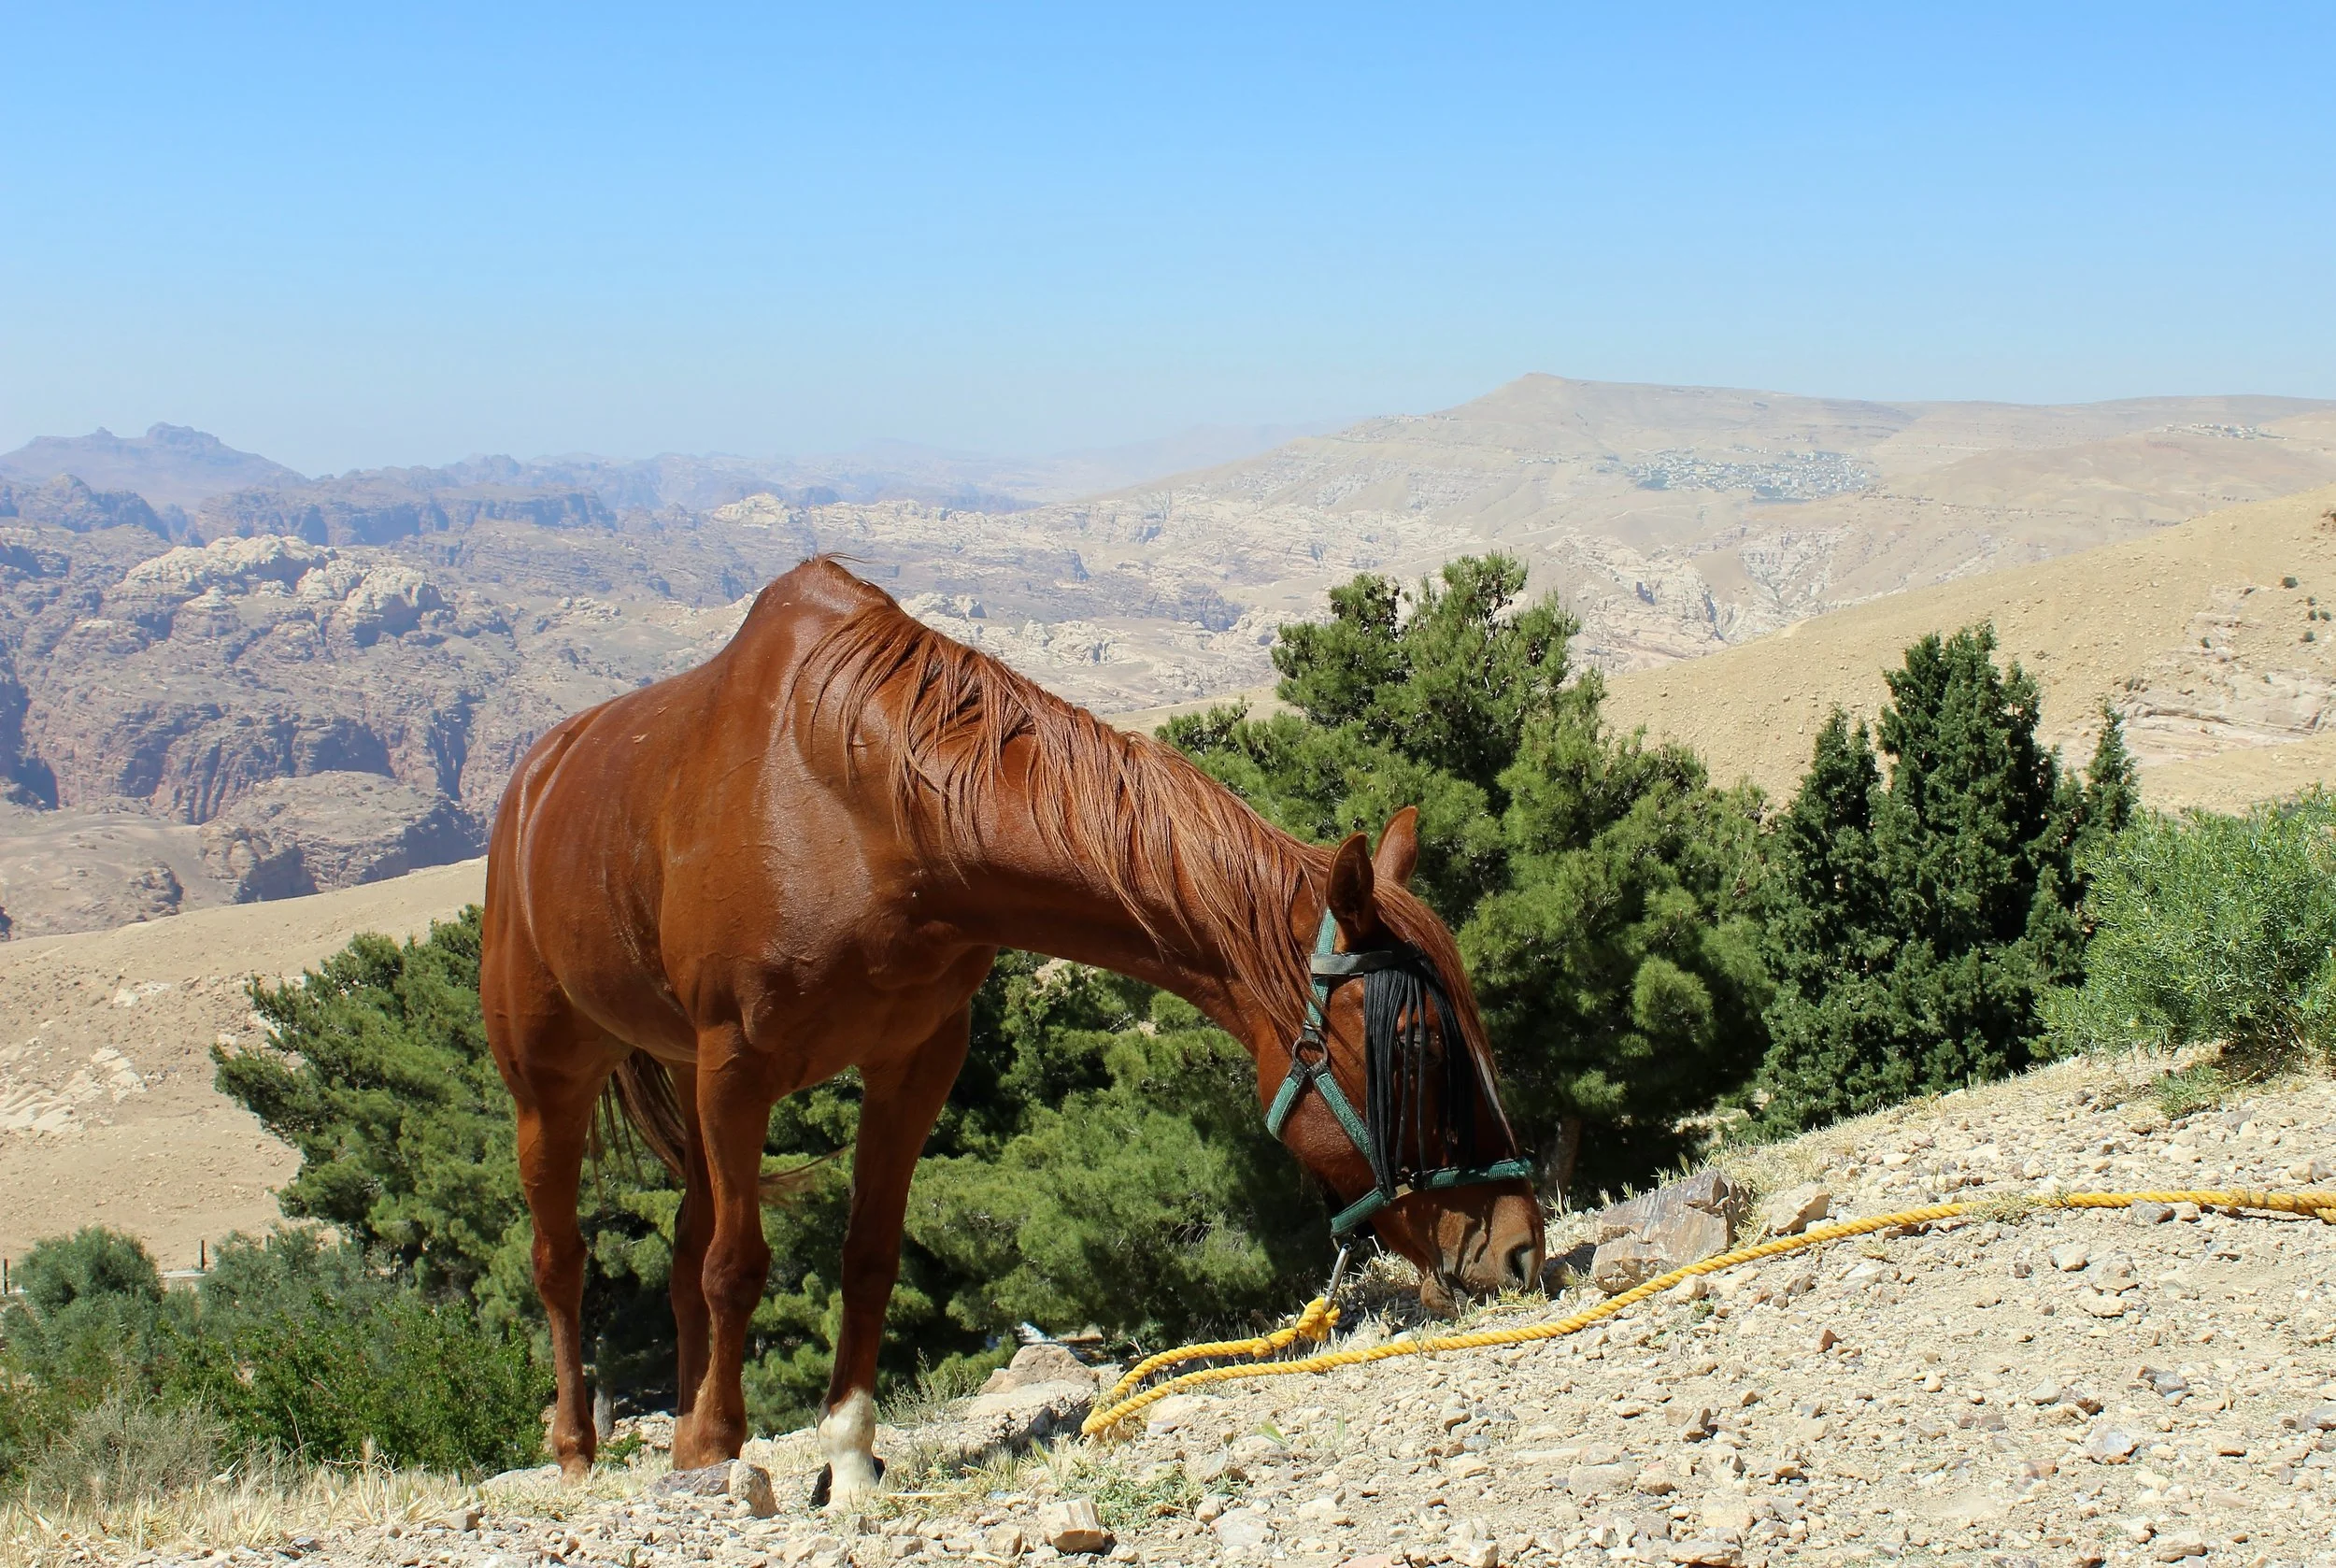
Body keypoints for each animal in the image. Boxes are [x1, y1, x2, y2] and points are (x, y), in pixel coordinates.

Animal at [481, 556, 1543, 1502]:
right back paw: (583, 1449)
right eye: (1417, 1046)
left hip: (685, 1079)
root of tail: (533, 780)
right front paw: (715, 1445)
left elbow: (867, 1256)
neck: (855, 810)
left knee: (681, 1246)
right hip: (555, 1080)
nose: (1522, 1249)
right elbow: (737, 1267)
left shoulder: (913, 1063)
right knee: (563, 1259)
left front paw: (847, 1454)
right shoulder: (738, 1066)